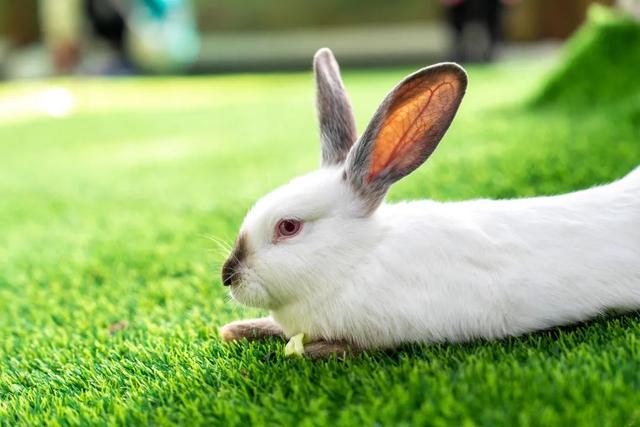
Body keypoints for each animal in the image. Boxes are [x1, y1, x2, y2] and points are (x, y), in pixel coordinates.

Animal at [220, 48, 640, 360]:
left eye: (288, 227)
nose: (228, 276)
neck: (355, 260)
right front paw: (236, 330)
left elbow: (347, 348)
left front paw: (307, 350)